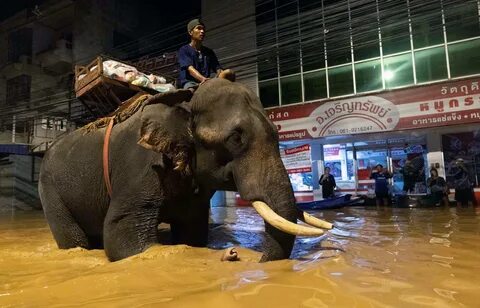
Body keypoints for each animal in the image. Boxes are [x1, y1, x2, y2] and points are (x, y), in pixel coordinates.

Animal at [38, 78, 330, 262]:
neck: (185, 100)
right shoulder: (140, 166)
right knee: (74, 238)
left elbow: (192, 231)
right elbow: (123, 238)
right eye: (235, 138)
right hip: (50, 190)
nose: (248, 258)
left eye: (277, 135)